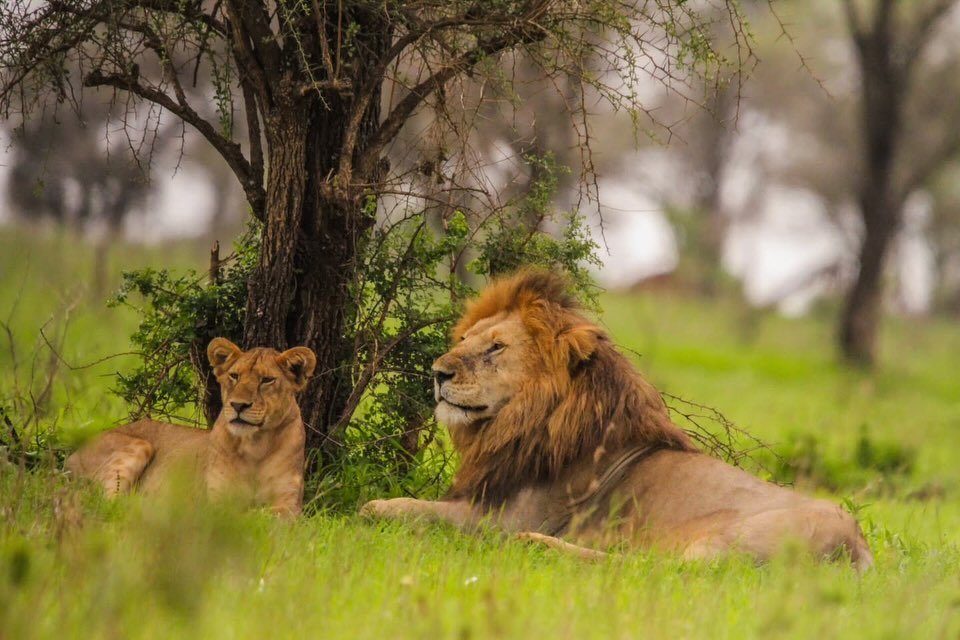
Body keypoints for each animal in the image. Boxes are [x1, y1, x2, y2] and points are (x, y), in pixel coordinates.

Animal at [65, 337, 316, 517]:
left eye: (267, 380)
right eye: (234, 376)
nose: (238, 405)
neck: (256, 446)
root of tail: (72, 455)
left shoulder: (290, 506)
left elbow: (266, 516)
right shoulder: (213, 501)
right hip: (138, 445)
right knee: (103, 504)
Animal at [361, 270, 873, 570]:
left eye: (496, 348)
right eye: (465, 339)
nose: (437, 372)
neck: (519, 423)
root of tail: (857, 548)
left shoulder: (499, 519)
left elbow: (412, 509)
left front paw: (373, 509)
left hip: (730, 539)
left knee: (663, 570)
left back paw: (540, 545)